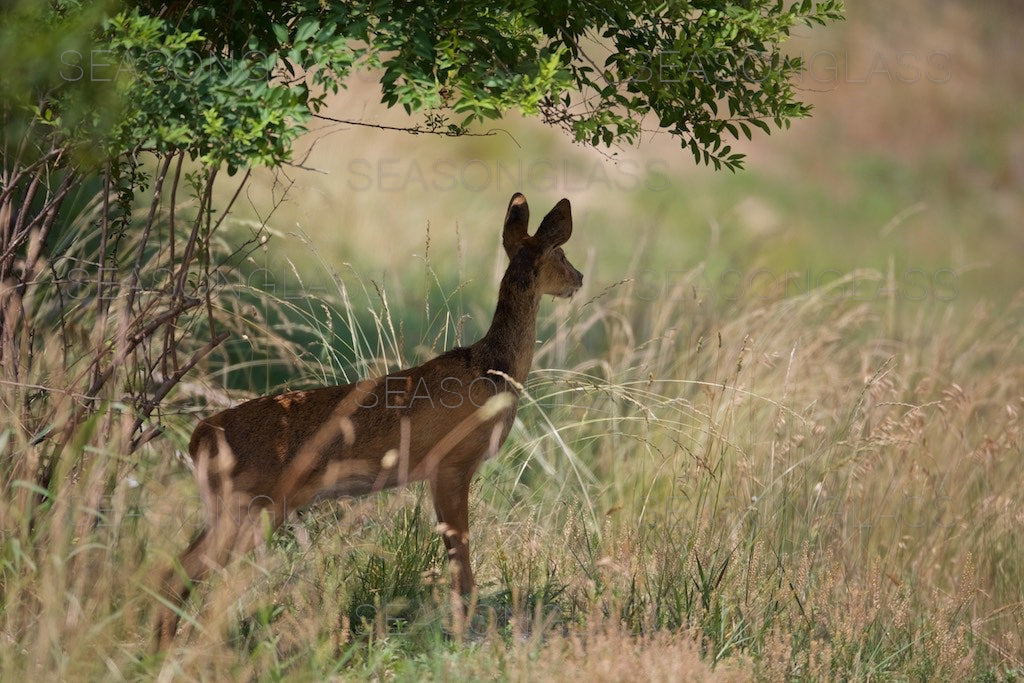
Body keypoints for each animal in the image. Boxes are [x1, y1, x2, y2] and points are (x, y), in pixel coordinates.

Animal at [154, 191, 581, 647]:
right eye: (560, 253)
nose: (579, 277)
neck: (488, 369)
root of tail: (200, 434)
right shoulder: (452, 464)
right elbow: (460, 554)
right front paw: (465, 627)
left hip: (230, 509)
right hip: (252, 506)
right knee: (185, 577)